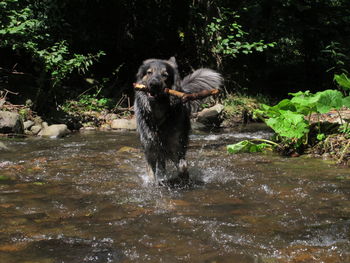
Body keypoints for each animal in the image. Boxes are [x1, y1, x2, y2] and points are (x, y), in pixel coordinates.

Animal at [134, 57, 221, 186]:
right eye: (149, 72)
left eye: (165, 75)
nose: (153, 84)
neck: (158, 114)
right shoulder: (150, 148)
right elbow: (151, 172)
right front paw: (154, 183)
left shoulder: (176, 147)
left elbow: (183, 166)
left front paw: (183, 180)